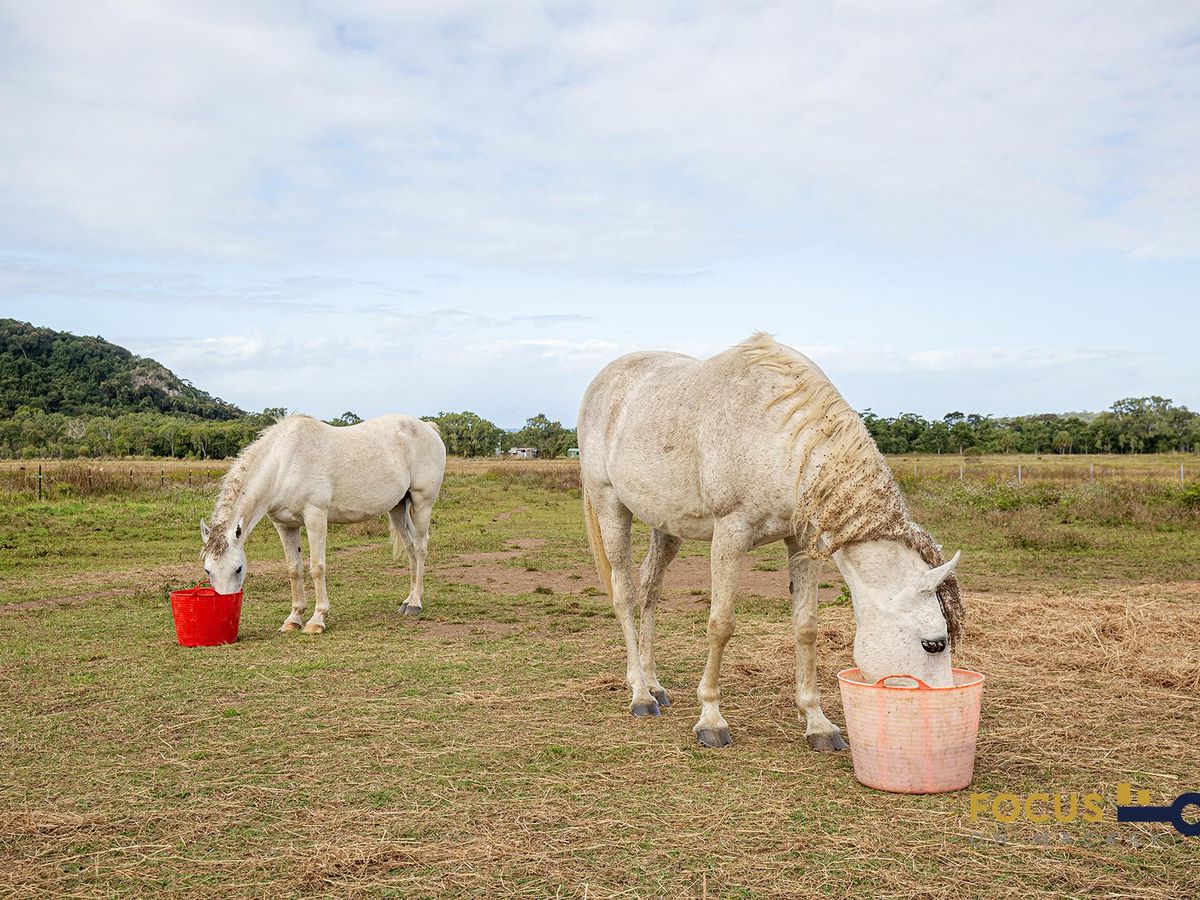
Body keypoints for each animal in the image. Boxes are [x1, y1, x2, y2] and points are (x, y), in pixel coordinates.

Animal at [201, 415, 446, 633]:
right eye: (207, 570)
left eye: (238, 568)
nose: (224, 612)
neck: (284, 463)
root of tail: (428, 428)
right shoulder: (284, 525)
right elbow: (294, 569)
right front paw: (293, 619)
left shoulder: (315, 516)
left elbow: (317, 568)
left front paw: (317, 620)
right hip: (397, 508)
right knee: (411, 548)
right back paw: (407, 601)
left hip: (422, 503)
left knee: (420, 548)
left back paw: (415, 603)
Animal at [580, 336, 964, 748]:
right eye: (934, 643)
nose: (945, 713)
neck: (784, 440)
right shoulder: (730, 535)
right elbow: (721, 624)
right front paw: (711, 719)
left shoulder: (803, 542)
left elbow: (806, 627)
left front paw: (817, 722)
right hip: (611, 505)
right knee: (624, 593)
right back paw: (640, 694)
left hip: (664, 524)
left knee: (650, 589)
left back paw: (654, 685)